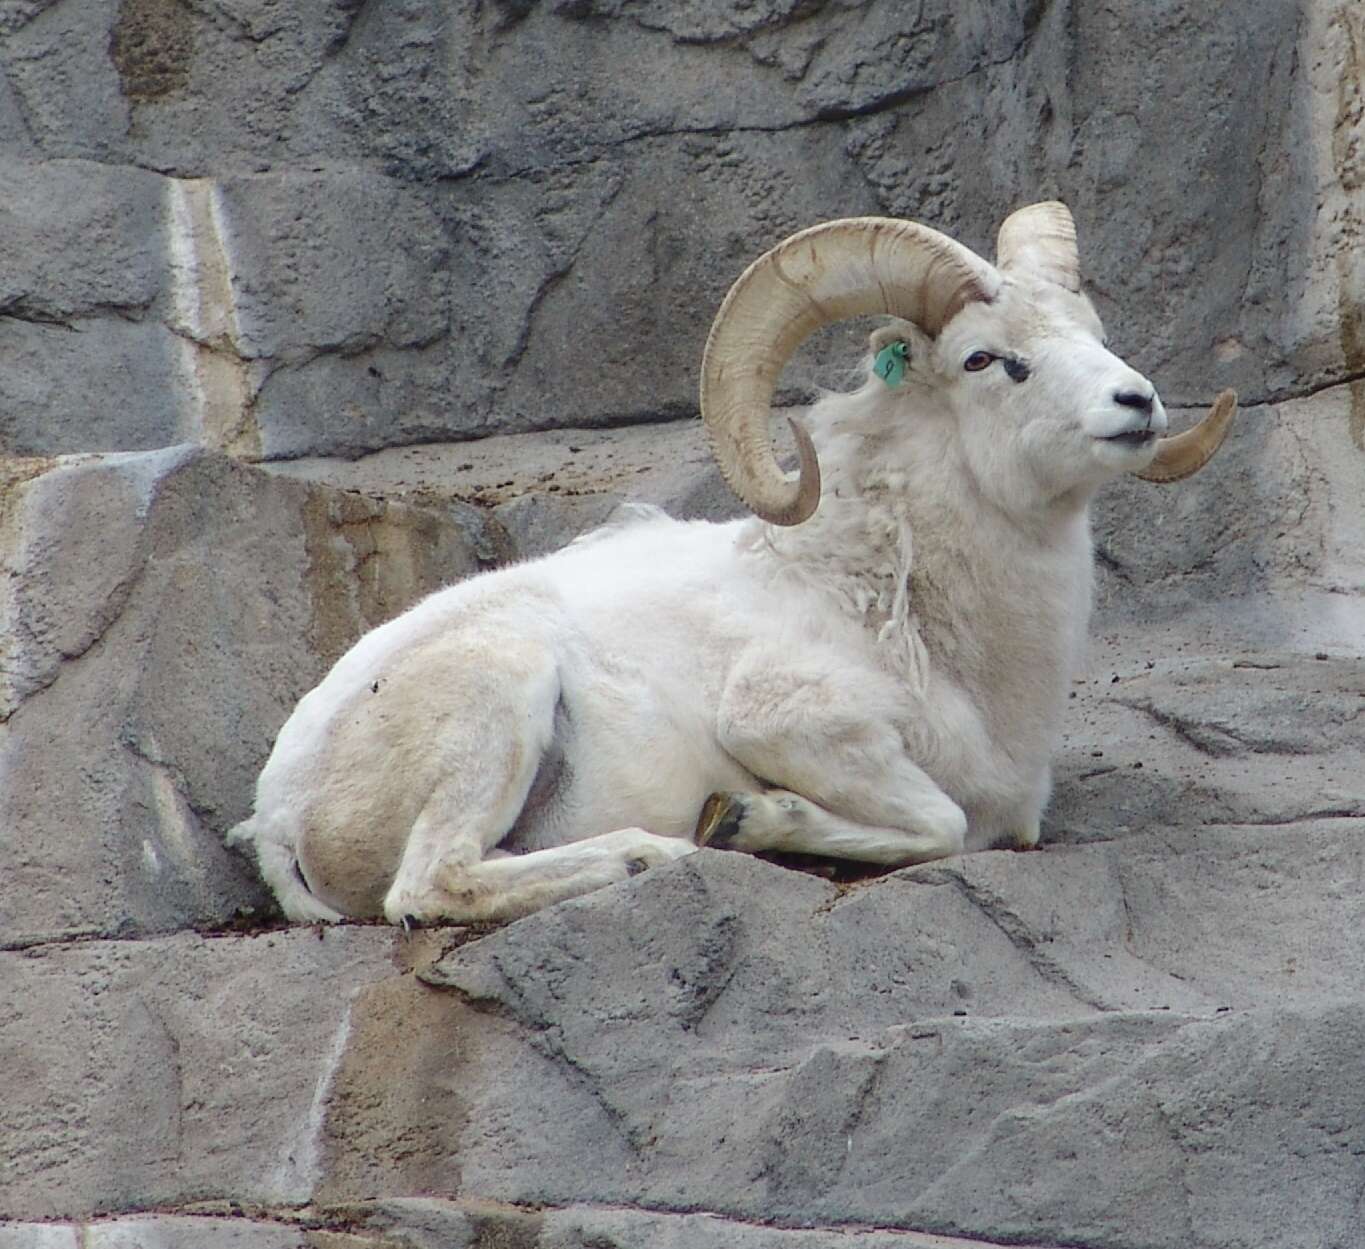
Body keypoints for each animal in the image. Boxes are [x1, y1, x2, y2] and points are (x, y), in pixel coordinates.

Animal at [232, 202, 1239, 928]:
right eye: (985, 359)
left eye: (1091, 330)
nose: (1136, 402)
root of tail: (280, 814)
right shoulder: (789, 726)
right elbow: (943, 824)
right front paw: (749, 822)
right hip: (499, 692)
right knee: (429, 886)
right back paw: (651, 853)